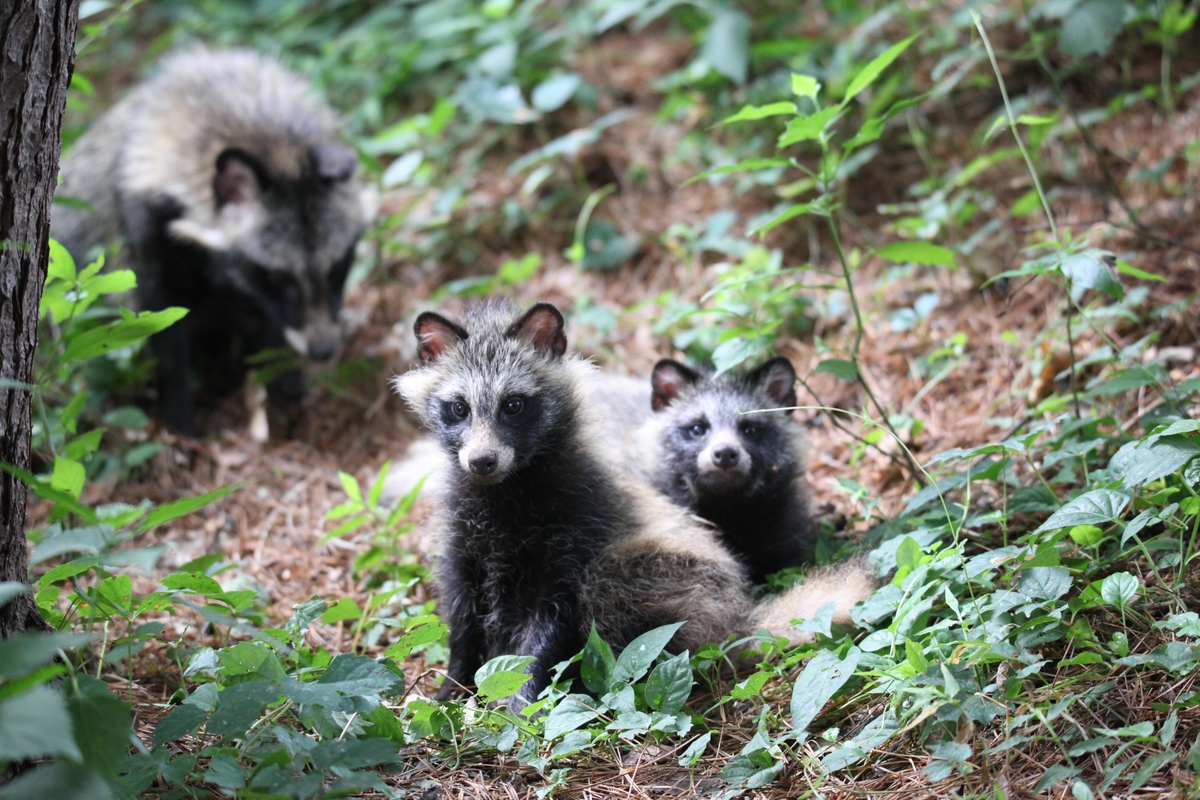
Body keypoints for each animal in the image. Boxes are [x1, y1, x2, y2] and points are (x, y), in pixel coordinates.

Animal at [51, 48, 372, 438]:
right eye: (278, 278)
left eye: (337, 268)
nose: (322, 349)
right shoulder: (145, 221)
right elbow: (160, 316)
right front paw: (179, 414)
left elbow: (272, 326)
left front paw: (284, 382)